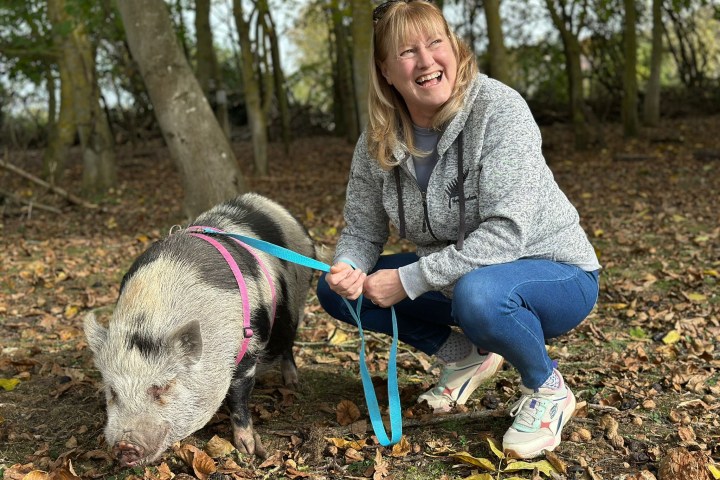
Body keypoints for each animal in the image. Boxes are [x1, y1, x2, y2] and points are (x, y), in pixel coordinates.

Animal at [84, 193, 321, 467]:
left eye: (163, 387)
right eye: (112, 391)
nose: (125, 445)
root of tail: (270, 204)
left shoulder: (249, 343)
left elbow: (238, 396)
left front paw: (248, 449)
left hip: (297, 299)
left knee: (288, 343)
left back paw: (292, 384)